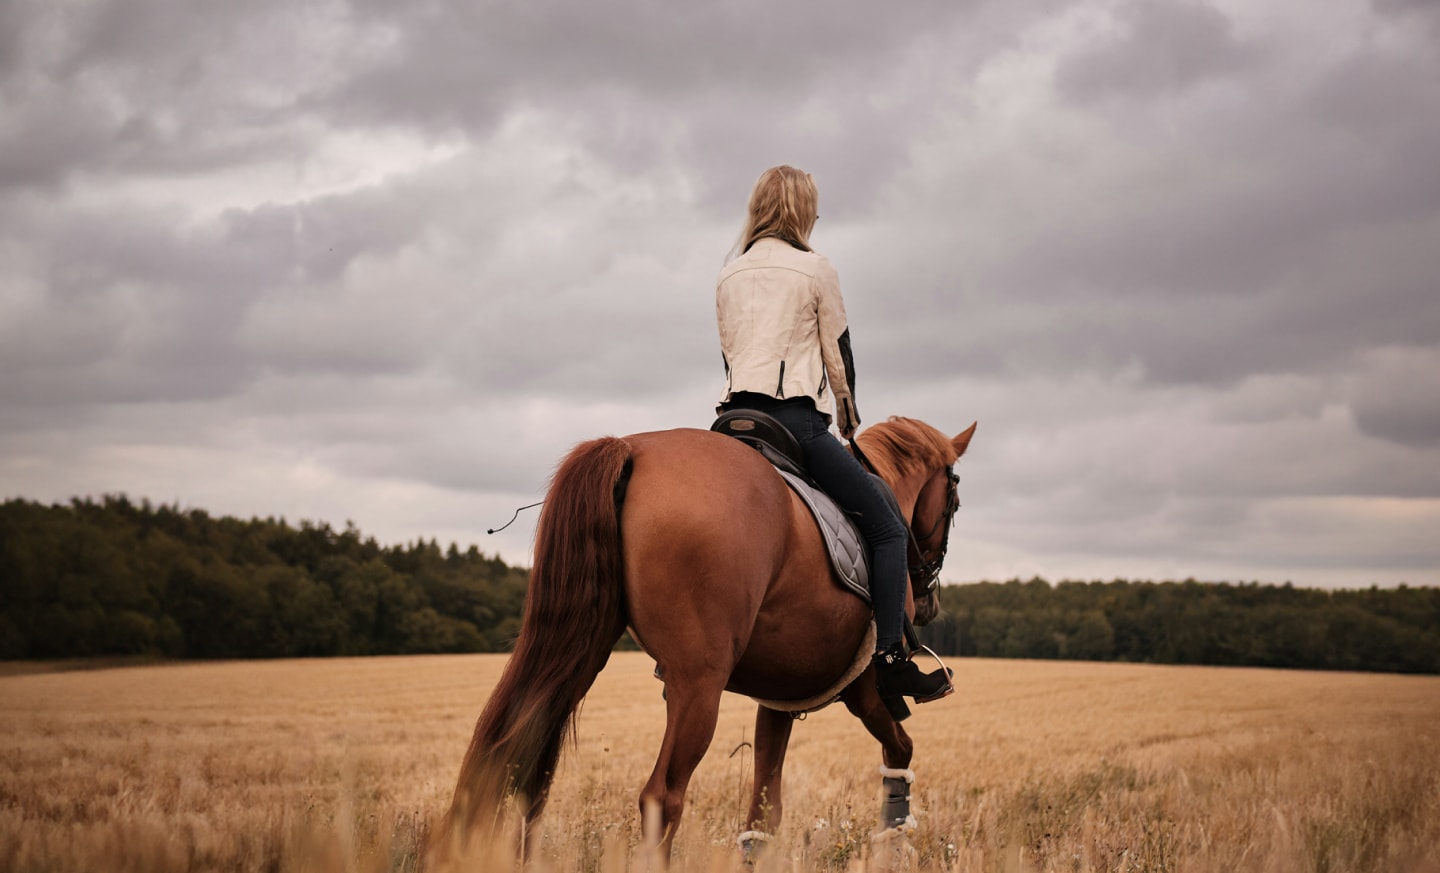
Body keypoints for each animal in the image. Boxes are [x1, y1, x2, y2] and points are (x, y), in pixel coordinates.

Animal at [440, 417, 979, 864]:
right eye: (954, 500)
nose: (929, 602)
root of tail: (631, 448)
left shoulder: (779, 699)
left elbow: (764, 809)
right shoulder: (866, 689)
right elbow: (901, 750)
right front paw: (895, 838)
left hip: (582, 646)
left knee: (516, 760)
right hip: (699, 682)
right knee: (662, 796)